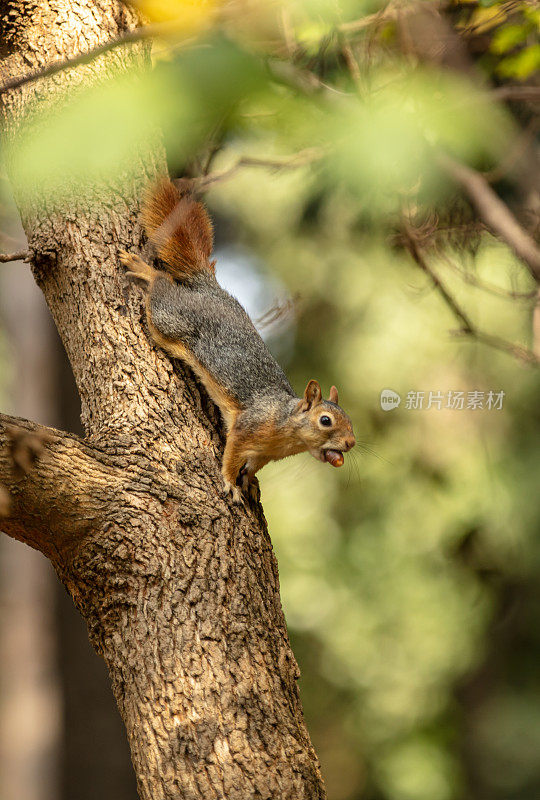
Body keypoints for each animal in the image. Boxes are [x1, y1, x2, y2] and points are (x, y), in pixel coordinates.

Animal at [119, 179, 354, 504]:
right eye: (326, 421)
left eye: (350, 420)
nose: (351, 442)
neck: (285, 429)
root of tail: (209, 289)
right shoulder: (246, 428)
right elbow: (231, 455)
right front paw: (231, 482)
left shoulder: (263, 454)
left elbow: (252, 465)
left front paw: (250, 481)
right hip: (169, 318)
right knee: (161, 289)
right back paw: (146, 271)